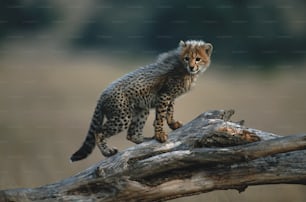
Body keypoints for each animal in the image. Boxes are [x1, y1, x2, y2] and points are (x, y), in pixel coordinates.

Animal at [70, 39, 213, 161]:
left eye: (198, 59)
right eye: (187, 58)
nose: (192, 67)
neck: (184, 69)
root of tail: (103, 93)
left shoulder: (170, 96)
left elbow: (170, 111)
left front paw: (173, 124)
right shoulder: (164, 95)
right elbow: (160, 116)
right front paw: (160, 134)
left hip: (141, 109)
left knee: (132, 133)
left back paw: (145, 141)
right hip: (122, 116)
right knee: (99, 132)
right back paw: (108, 152)